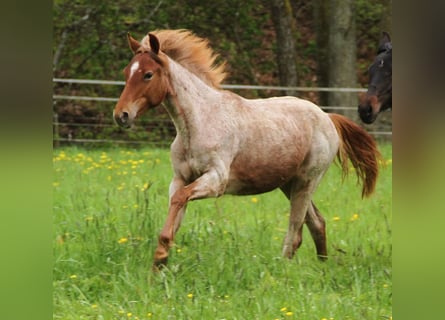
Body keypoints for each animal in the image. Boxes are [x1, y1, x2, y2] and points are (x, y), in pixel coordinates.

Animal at [113, 29, 378, 270]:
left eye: (148, 74)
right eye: (127, 72)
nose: (121, 115)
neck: (199, 123)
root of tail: (327, 117)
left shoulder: (215, 181)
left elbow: (179, 200)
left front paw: (160, 257)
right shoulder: (180, 178)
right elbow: (175, 210)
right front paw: (160, 263)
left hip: (307, 181)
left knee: (295, 230)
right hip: (289, 184)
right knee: (317, 223)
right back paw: (322, 268)